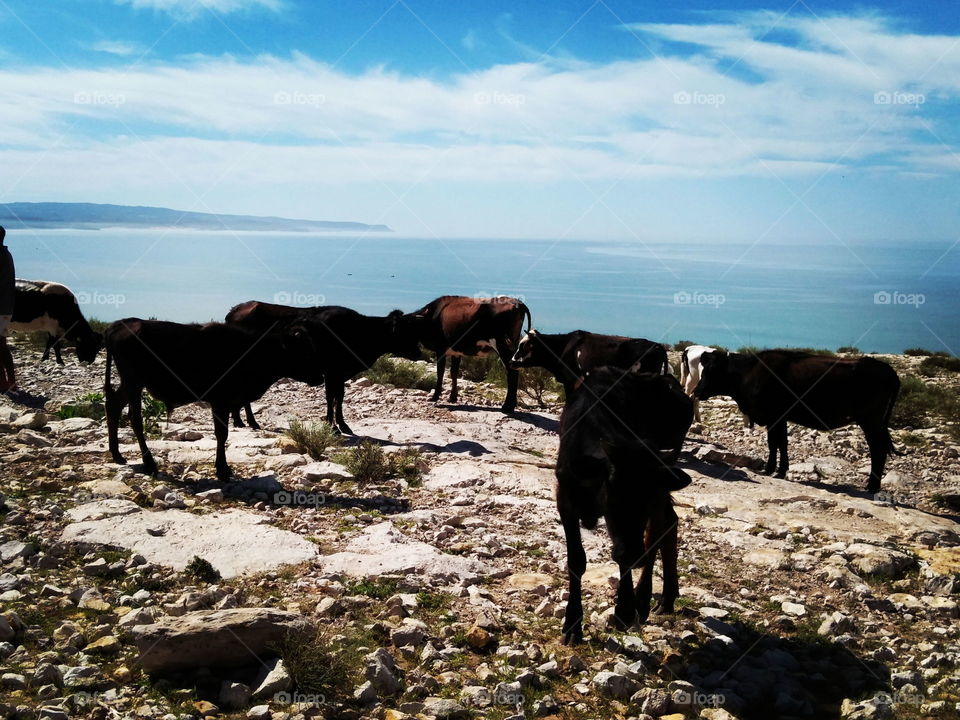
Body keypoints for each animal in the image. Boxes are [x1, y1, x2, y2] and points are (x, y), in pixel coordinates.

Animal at [104, 318, 325, 481]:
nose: (320, 377)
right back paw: (149, 463)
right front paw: (222, 469)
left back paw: (117, 455)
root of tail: (120, 323)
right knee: (135, 419)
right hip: (133, 382)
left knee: (113, 406)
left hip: (130, 384)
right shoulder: (220, 402)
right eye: (304, 351)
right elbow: (222, 434)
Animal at [556, 367, 693, 644]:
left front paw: (626, 609)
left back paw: (645, 599)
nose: (633, 553)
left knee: (658, 531)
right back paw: (667, 599)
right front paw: (573, 624)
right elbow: (576, 560)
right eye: (612, 496)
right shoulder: (564, 501)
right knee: (669, 523)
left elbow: (630, 554)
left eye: (643, 501)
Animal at [694, 350, 901, 492]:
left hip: (871, 422)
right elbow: (781, 443)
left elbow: (774, 443)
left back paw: (872, 487)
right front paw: (780, 469)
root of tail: (887, 369)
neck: (748, 373)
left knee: (878, 451)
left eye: (711, 370)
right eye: (703, 369)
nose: (696, 391)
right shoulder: (780, 418)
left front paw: (770, 469)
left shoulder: (774, 416)